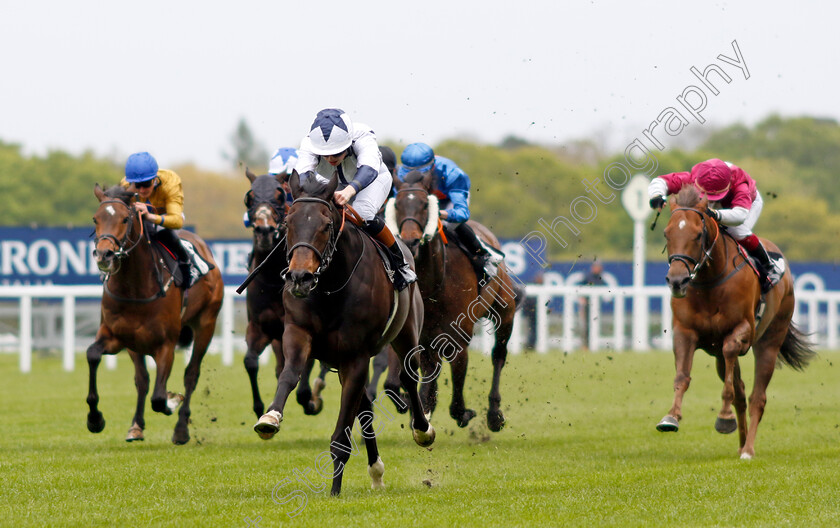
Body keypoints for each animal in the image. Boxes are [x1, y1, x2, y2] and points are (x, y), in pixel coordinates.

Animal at [88, 184, 223, 444]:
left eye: (125, 219)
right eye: (95, 219)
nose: (104, 255)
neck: (135, 287)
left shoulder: (166, 344)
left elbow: (160, 398)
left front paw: (172, 400)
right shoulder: (117, 336)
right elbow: (93, 355)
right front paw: (95, 419)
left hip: (206, 324)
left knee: (191, 374)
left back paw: (181, 429)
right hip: (135, 344)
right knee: (142, 380)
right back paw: (136, 426)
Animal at [243, 167, 328, 418]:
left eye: (280, 196)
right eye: (250, 198)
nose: (264, 230)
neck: (272, 280)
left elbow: (307, 363)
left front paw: (309, 400)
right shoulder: (259, 326)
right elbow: (250, 362)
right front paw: (260, 408)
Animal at [251, 170, 434, 496]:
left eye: (325, 225)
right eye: (288, 224)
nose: (299, 277)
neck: (329, 286)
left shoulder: (356, 356)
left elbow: (342, 434)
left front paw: (334, 491)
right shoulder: (298, 332)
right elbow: (289, 374)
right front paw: (269, 417)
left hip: (406, 334)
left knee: (408, 377)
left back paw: (422, 429)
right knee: (365, 407)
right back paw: (376, 471)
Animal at [390, 171, 520, 432]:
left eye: (424, 204)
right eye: (397, 204)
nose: (410, 242)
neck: (432, 284)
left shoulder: (458, 337)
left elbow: (458, 380)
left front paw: (462, 412)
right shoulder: (422, 337)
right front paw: (419, 411)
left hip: (505, 312)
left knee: (498, 355)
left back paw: (494, 414)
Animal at [656, 186, 812, 458]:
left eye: (698, 235)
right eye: (667, 233)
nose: (677, 281)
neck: (709, 281)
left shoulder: (742, 331)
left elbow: (732, 363)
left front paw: (724, 417)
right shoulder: (685, 332)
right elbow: (682, 376)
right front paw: (671, 417)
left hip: (770, 341)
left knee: (757, 397)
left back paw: (748, 449)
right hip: (718, 356)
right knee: (740, 391)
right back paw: (740, 444)